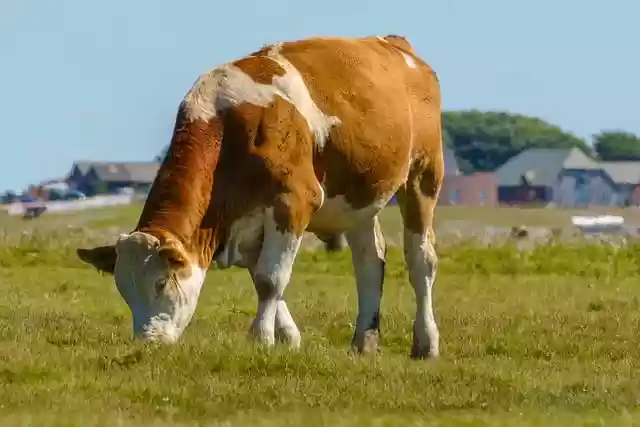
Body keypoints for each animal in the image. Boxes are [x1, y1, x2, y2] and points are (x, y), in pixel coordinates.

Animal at [76, 34, 444, 359]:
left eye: (163, 282)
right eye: (124, 289)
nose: (148, 342)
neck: (228, 129)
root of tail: (396, 45)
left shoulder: (294, 203)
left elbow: (270, 279)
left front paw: (261, 339)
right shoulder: (246, 222)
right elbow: (261, 278)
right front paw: (289, 338)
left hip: (423, 175)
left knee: (421, 261)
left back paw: (426, 343)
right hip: (358, 199)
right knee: (369, 262)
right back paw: (363, 342)